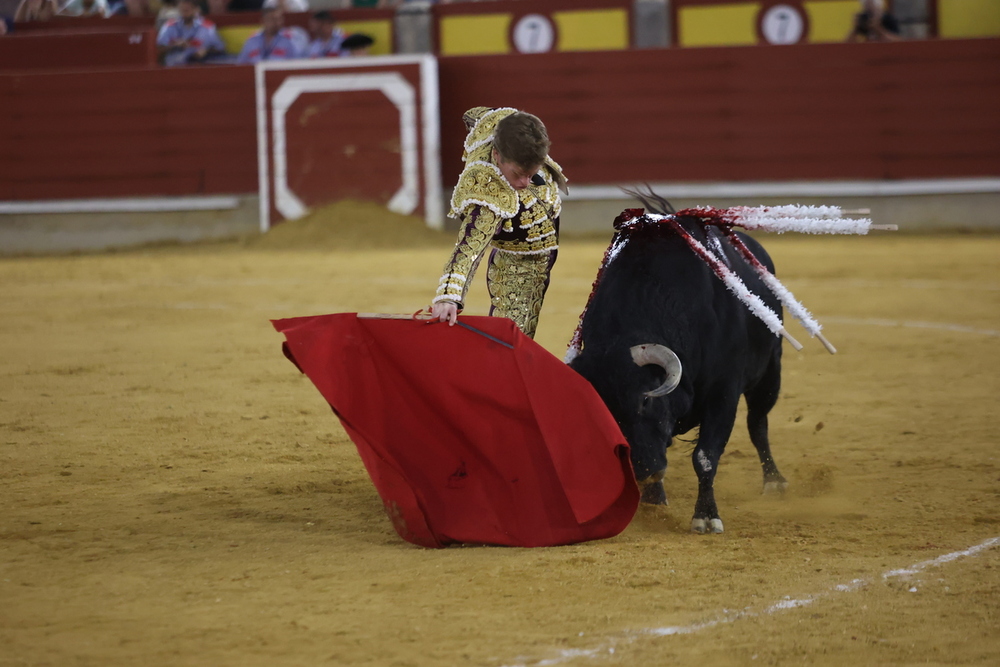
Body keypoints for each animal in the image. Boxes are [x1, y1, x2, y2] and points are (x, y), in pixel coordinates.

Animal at [572, 209, 788, 532]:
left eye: (645, 400)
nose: (642, 471)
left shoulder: (724, 393)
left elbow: (706, 456)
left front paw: (707, 516)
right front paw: (654, 503)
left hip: (770, 372)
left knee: (758, 425)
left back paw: (774, 481)